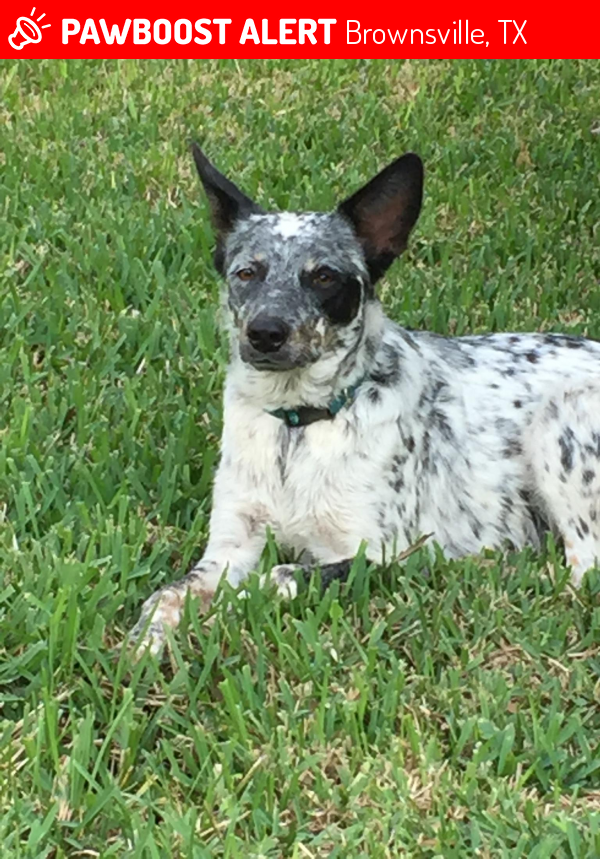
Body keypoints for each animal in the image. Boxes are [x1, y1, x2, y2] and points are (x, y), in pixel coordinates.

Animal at [131, 144, 600, 656]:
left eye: (323, 276)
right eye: (246, 273)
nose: (265, 333)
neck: (298, 426)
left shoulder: (381, 552)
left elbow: (274, 578)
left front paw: (220, 620)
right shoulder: (231, 545)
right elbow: (170, 592)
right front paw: (148, 638)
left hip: (562, 421)